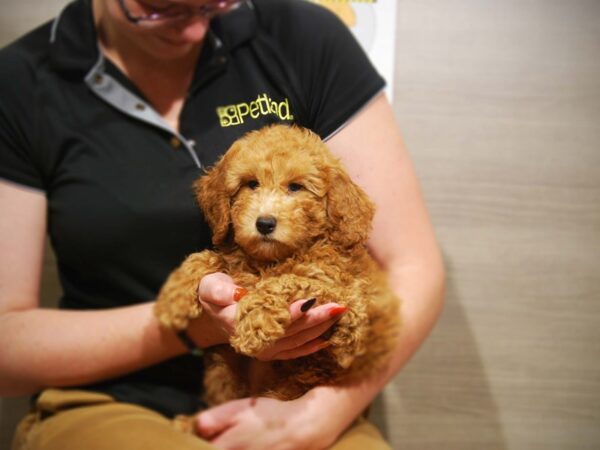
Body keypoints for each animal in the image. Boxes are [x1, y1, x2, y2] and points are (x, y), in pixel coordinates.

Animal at [154, 123, 398, 408]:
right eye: (251, 184)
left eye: (295, 187)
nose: (264, 223)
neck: (270, 259)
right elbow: (206, 258)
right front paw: (173, 299)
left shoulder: (343, 295)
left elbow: (288, 281)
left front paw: (255, 322)